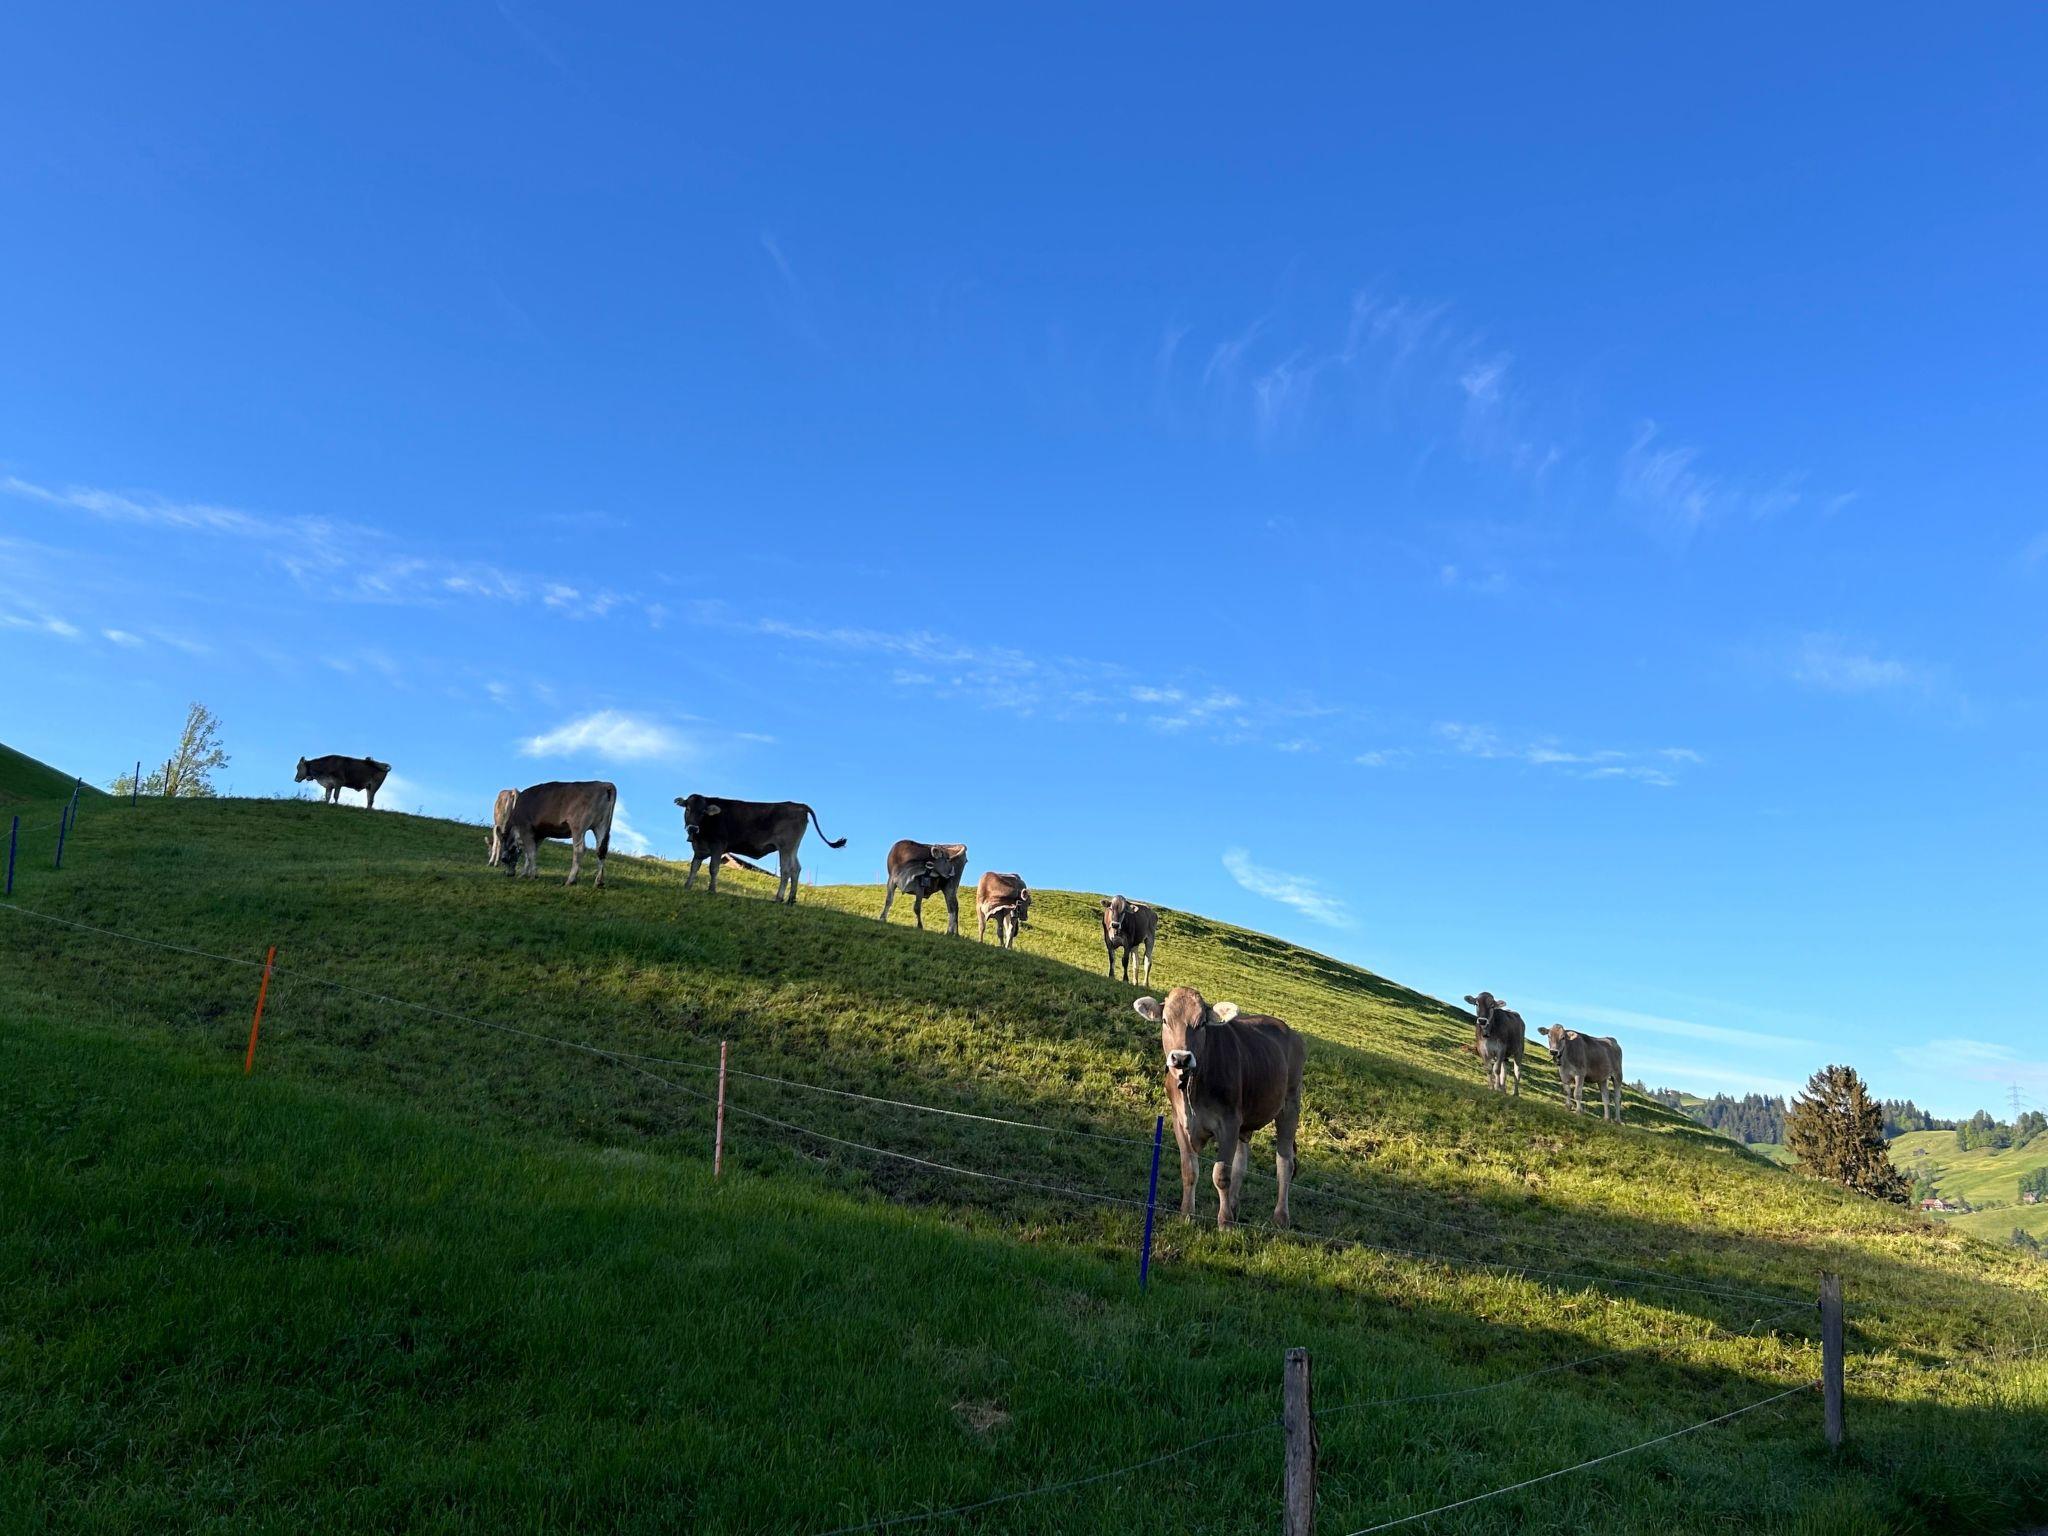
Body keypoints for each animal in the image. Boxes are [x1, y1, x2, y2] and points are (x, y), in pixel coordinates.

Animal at [675, 794, 845, 905]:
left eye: (703, 812)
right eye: (688, 808)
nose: (693, 828)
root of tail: (799, 805)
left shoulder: (718, 845)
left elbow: (713, 868)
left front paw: (712, 890)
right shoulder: (699, 850)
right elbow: (694, 867)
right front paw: (687, 886)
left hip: (786, 846)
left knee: (786, 870)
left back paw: (778, 898)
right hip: (793, 848)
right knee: (796, 868)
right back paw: (791, 899)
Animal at [1133, 986, 1305, 1229]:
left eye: (1201, 1023)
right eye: (1165, 1020)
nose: (1181, 1058)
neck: (1192, 1089)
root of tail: (1289, 1030)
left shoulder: (1229, 1123)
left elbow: (1222, 1174)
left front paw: (1225, 1223)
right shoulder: (1179, 1122)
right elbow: (1189, 1171)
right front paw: (1187, 1215)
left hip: (1290, 1105)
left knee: (1285, 1163)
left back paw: (1281, 1217)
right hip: (1247, 1119)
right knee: (1241, 1163)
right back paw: (1233, 1206)